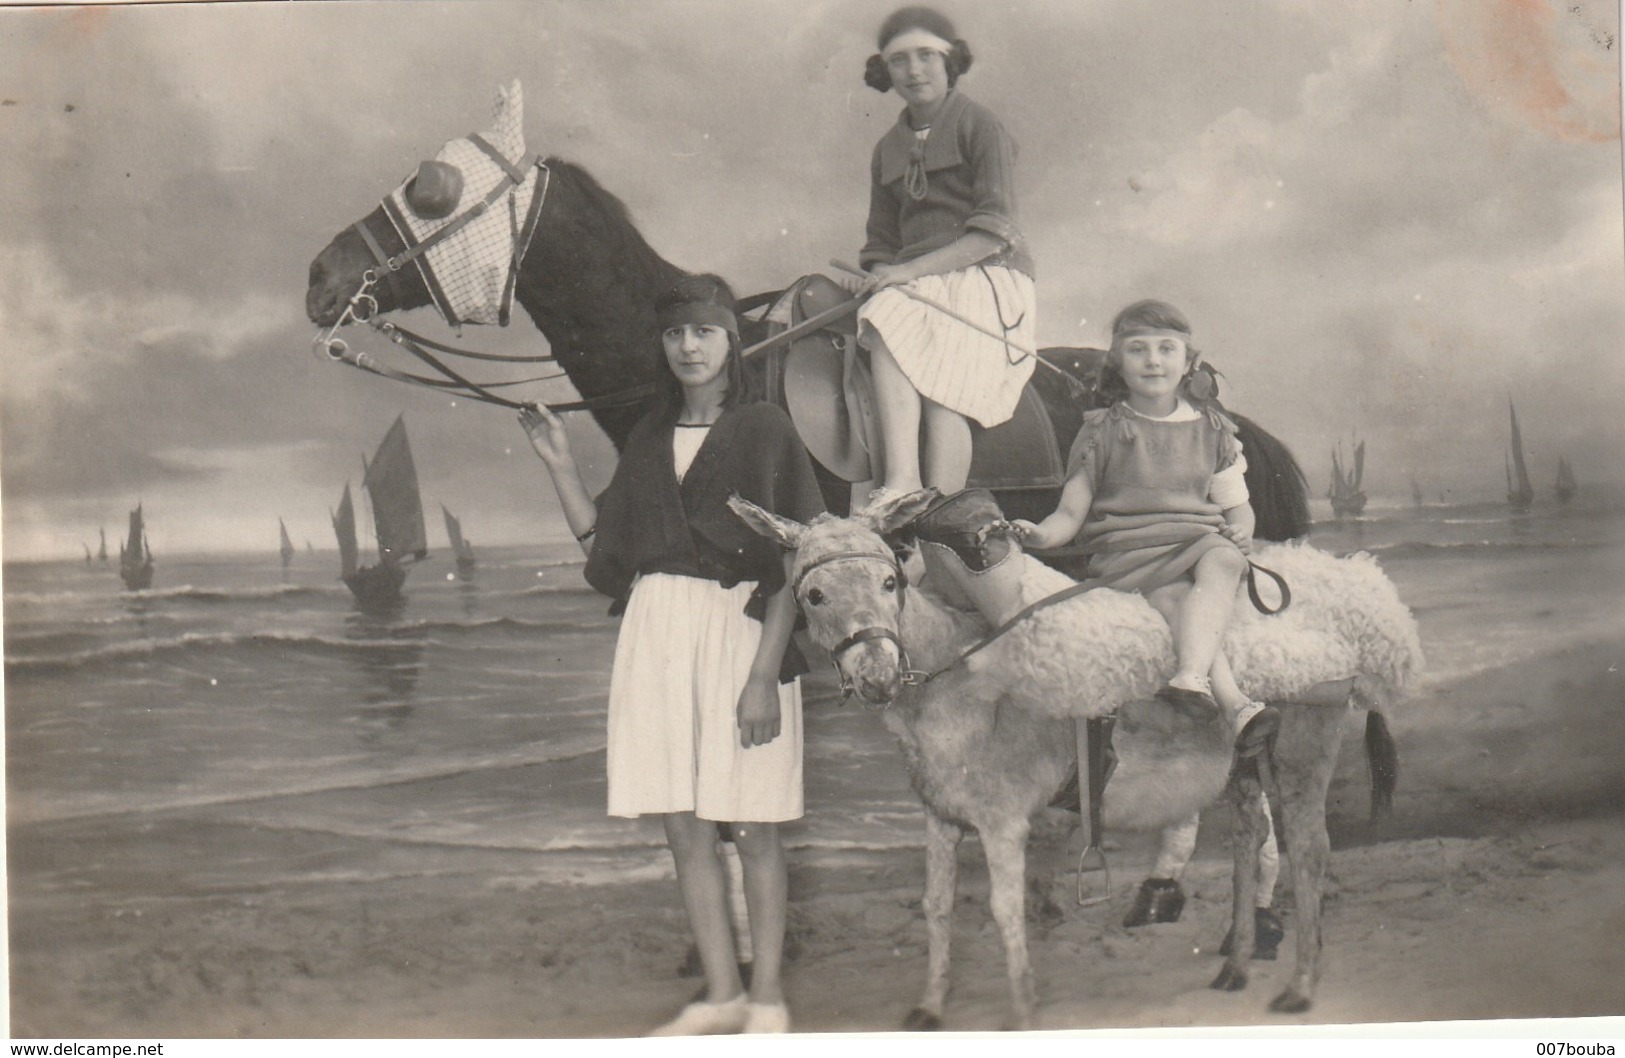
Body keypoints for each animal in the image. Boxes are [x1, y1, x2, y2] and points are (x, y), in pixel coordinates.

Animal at [737, 497, 1423, 1033]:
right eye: (814, 595)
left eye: (890, 584)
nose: (877, 675)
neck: (956, 676)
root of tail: (1359, 600)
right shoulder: (941, 816)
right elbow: (936, 907)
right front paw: (929, 1006)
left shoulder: (1002, 820)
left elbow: (1004, 910)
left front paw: (1021, 1012)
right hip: (1243, 766)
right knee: (1250, 843)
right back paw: (1234, 966)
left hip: (1304, 749)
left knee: (1309, 853)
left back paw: (1300, 986)